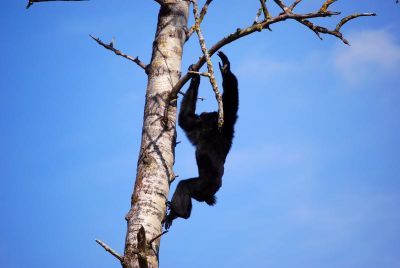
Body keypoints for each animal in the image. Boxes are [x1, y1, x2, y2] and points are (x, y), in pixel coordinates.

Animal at [164, 50, 239, 228]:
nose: (205, 114)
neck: (211, 129)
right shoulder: (201, 128)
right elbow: (185, 119)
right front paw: (194, 77)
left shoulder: (225, 124)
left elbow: (230, 100)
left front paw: (225, 68)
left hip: (205, 185)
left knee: (184, 186)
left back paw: (179, 214)